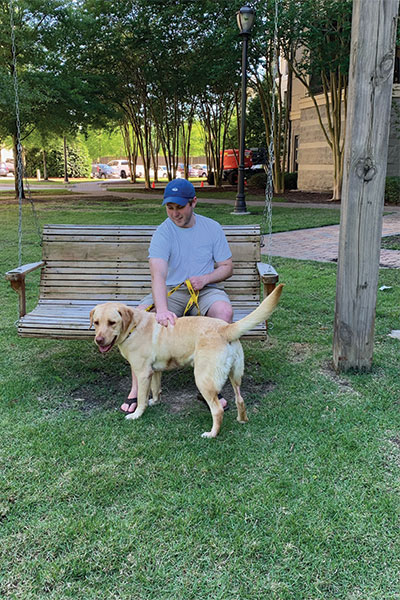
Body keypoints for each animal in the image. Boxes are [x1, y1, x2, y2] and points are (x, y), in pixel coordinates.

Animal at [90, 284, 284, 438]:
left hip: (203, 378)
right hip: (235, 375)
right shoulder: (155, 371)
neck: (134, 327)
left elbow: (141, 398)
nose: (98, 340)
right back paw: (242, 420)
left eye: (112, 322)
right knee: (240, 399)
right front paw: (155, 401)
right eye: (96, 322)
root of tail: (225, 328)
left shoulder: (143, 373)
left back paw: (212, 434)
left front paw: (137, 414)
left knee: (217, 410)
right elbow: (155, 389)